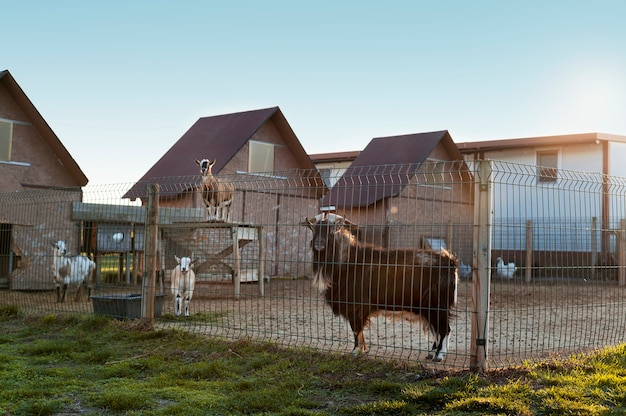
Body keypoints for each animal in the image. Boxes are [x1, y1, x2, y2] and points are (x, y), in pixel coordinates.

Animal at [304, 214, 456, 360]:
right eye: (314, 229)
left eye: (331, 230)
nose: (318, 243)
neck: (347, 260)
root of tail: (449, 262)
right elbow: (358, 331)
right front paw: (362, 350)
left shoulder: (356, 306)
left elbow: (356, 329)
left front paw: (356, 351)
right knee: (438, 330)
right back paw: (431, 353)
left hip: (437, 305)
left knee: (445, 329)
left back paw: (439, 355)